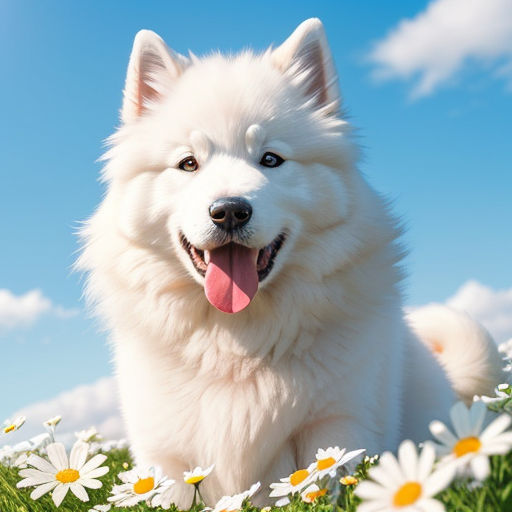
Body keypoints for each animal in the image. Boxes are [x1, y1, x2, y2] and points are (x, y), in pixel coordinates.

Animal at [77, 18, 504, 506]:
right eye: (188, 164)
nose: (229, 210)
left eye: (270, 159)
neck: (237, 343)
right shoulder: (167, 458)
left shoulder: (337, 425)